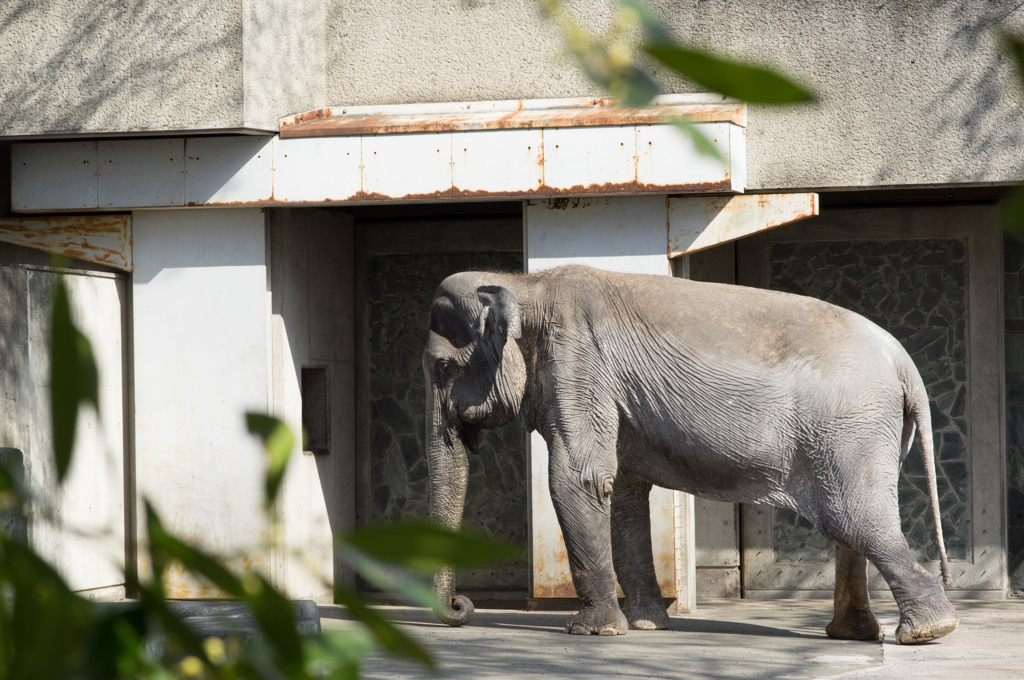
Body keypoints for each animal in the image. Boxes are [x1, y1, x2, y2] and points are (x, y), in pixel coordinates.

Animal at [419, 264, 954, 643]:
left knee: (855, 520)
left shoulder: (575, 362)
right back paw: (856, 634)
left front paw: (593, 632)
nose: (462, 607)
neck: (524, 284)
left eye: (442, 368)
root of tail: (905, 364)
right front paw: (646, 626)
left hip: (850, 430)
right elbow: (624, 491)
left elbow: (578, 480)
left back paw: (928, 631)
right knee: (849, 528)